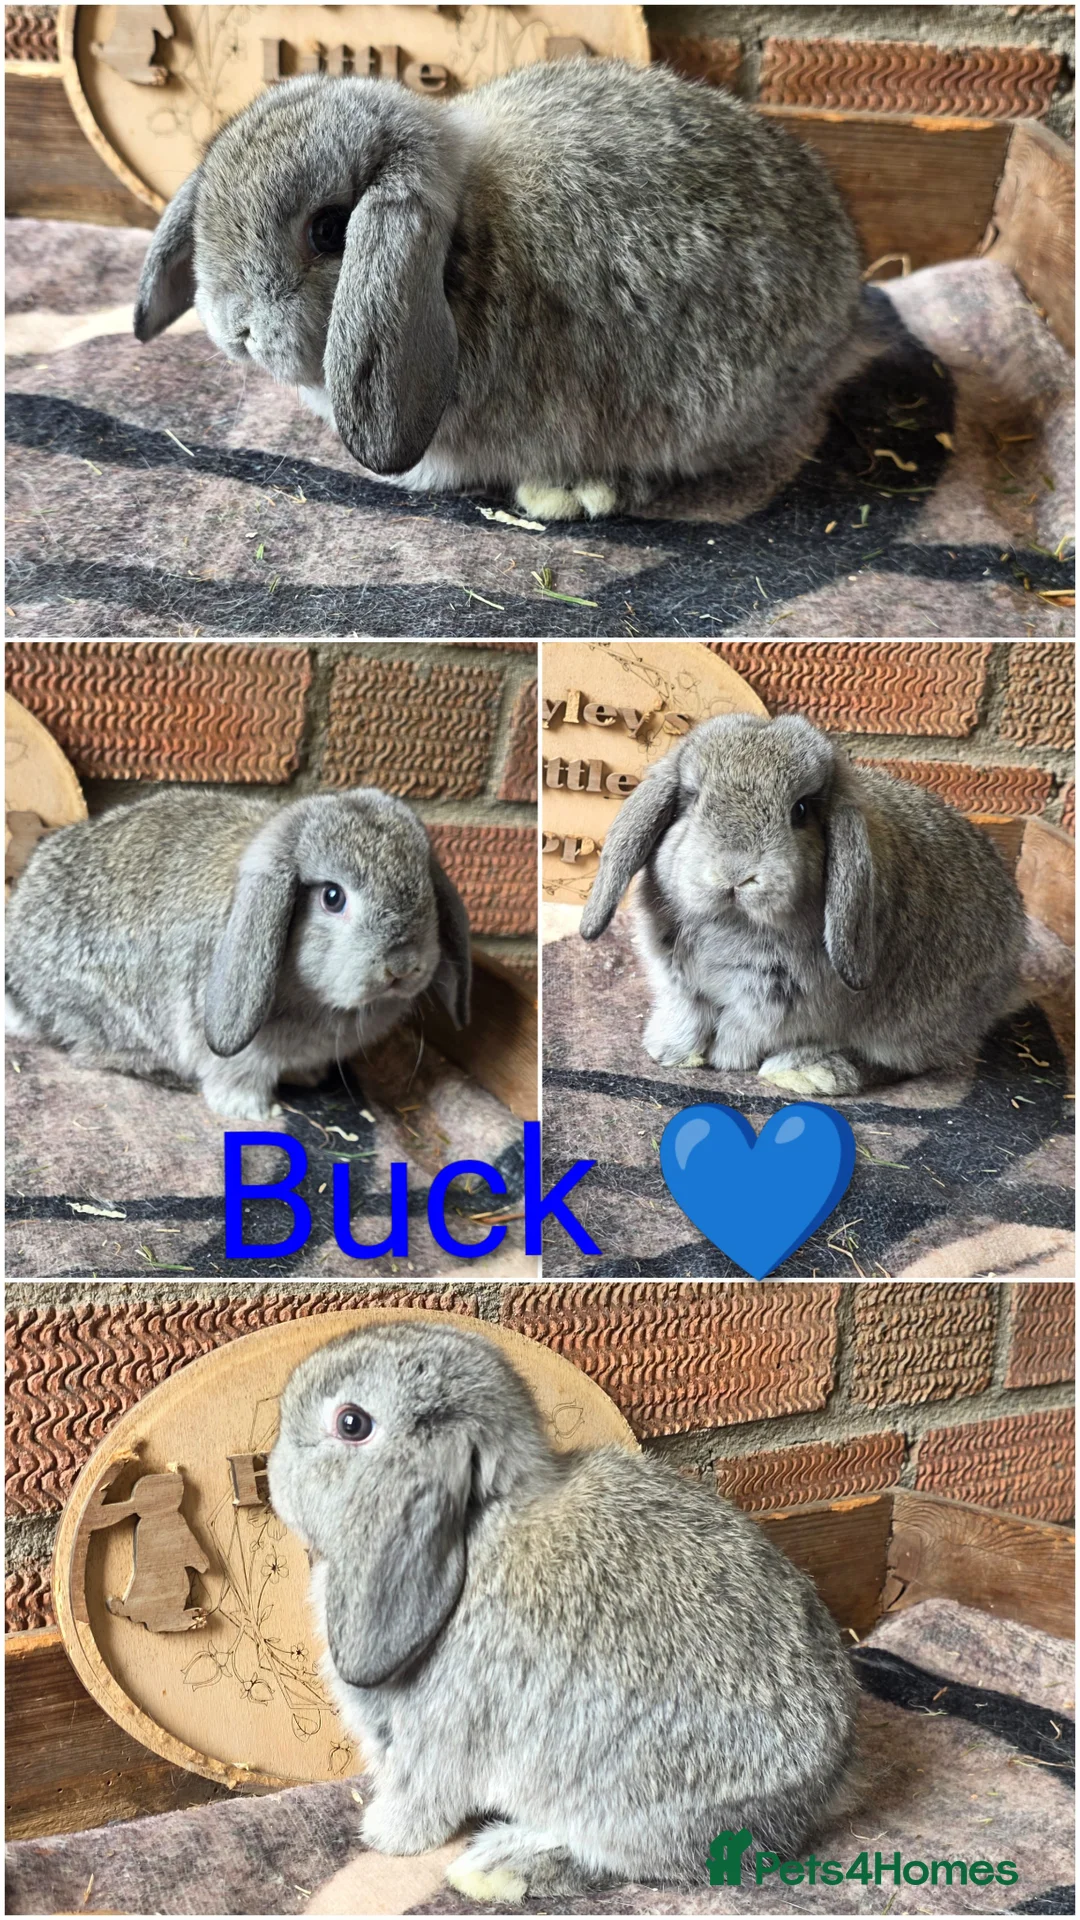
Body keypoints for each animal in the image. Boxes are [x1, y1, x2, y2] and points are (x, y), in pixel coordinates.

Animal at [5, 787, 470, 1121]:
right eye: (333, 897)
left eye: (426, 888)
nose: (402, 967)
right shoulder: (237, 1056)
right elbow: (236, 1081)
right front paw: (256, 1113)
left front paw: (309, 1077)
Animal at [267, 1319, 860, 1902]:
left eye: (351, 1422)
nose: (272, 1474)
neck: (479, 1526)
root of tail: (821, 1790)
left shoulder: (433, 1743)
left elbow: (422, 1802)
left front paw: (383, 1836)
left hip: (624, 1805)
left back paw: (498, 1866)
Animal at [579, 713, 1027, 1096]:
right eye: (691, 799)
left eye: (800, 811)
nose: (735, 872)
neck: (733, 925)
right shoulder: (682, 986)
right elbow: (688, 1016)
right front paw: (670, 1052)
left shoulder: (771, 1003)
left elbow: (743, 1033)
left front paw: (726, 1060)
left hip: (915, 1026)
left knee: (896, 1062)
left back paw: (810, 1073)